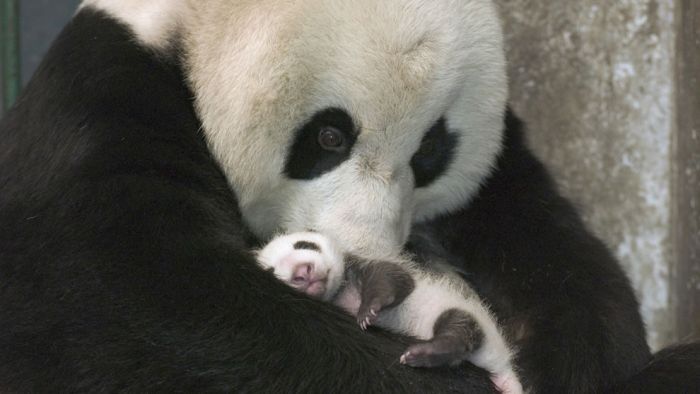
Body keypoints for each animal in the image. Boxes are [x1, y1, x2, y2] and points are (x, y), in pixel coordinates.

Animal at [256, 232, 520, 392]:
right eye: (272, 271)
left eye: (304, 244)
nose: (303, 271)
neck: (341, 293)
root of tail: (500, 365)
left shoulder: (362, 264)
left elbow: (393, 279)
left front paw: (368, 310)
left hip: (464, 312)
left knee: (458, 330)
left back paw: (422, 352)